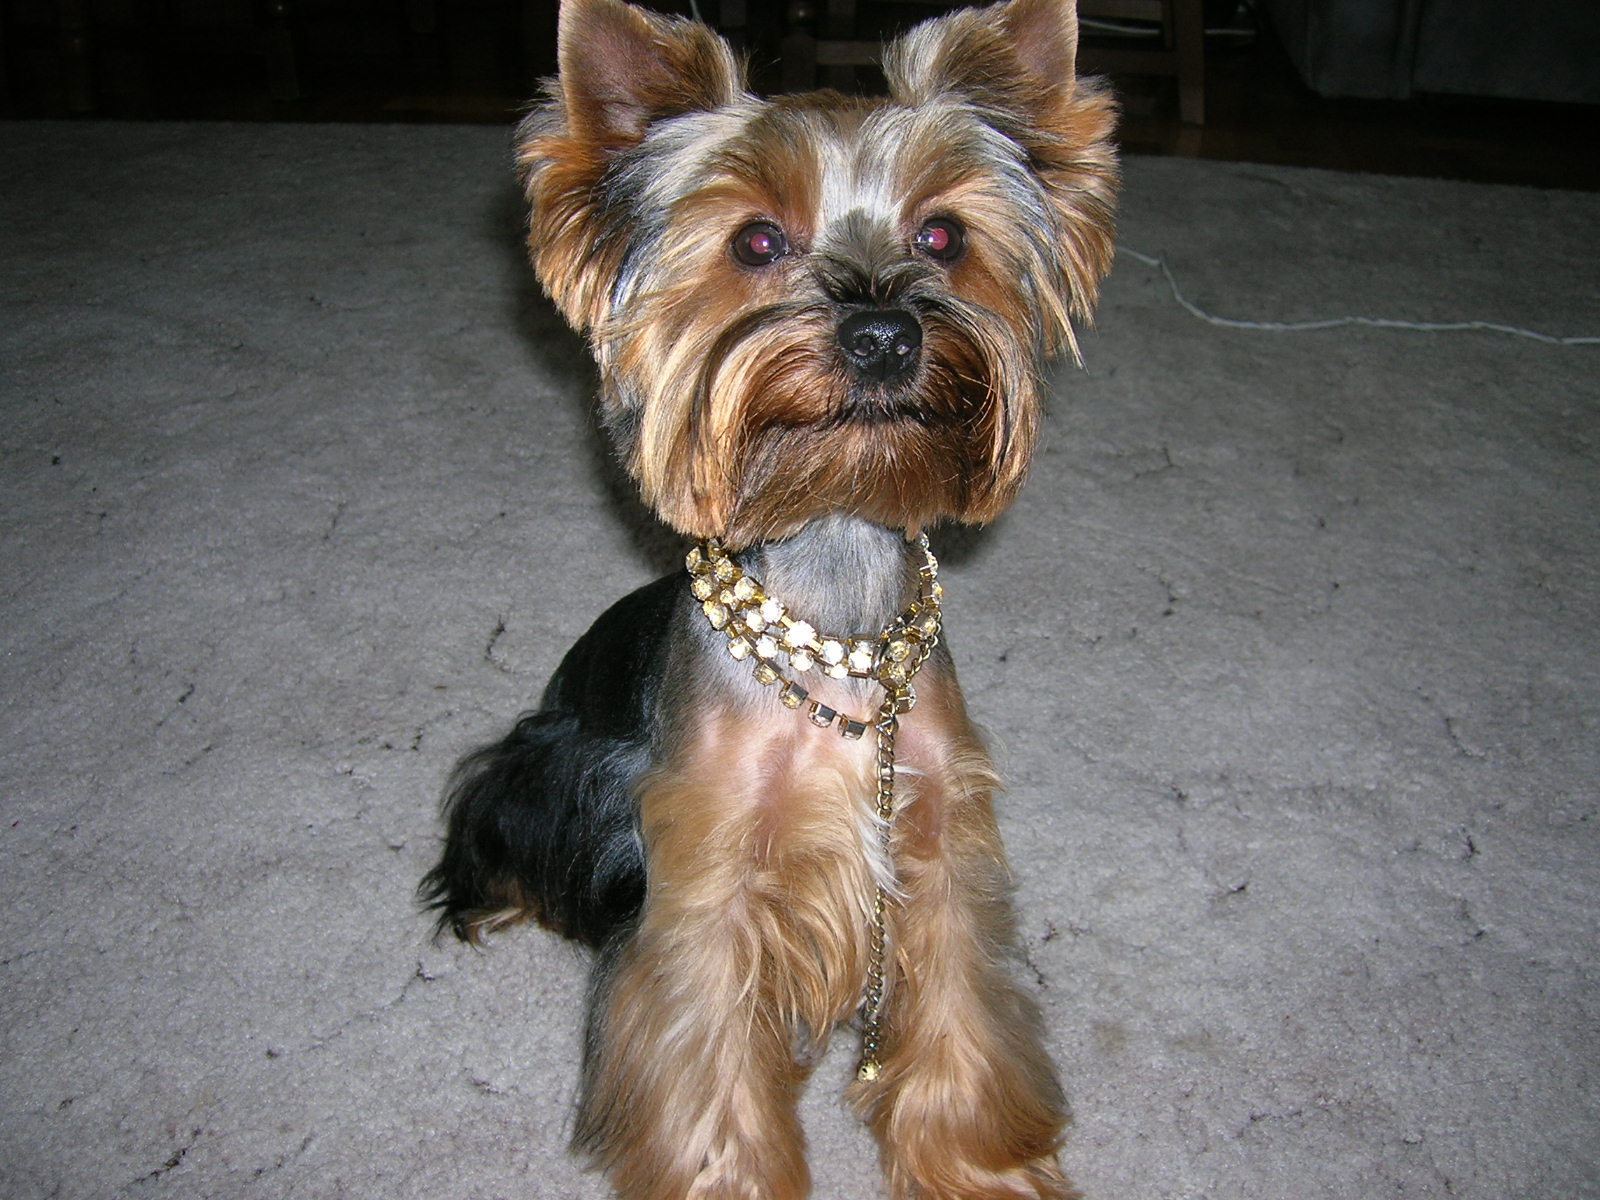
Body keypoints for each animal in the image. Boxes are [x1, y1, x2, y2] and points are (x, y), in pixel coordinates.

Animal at [421, 0, 1117, 1195]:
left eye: (943, 236)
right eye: (754, 242)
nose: (884, 333)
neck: (832, 600)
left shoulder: (933, 844)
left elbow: (962, 1018)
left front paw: (978, 1167)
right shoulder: (707, 881)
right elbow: (708, 1071)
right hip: (539, 770)